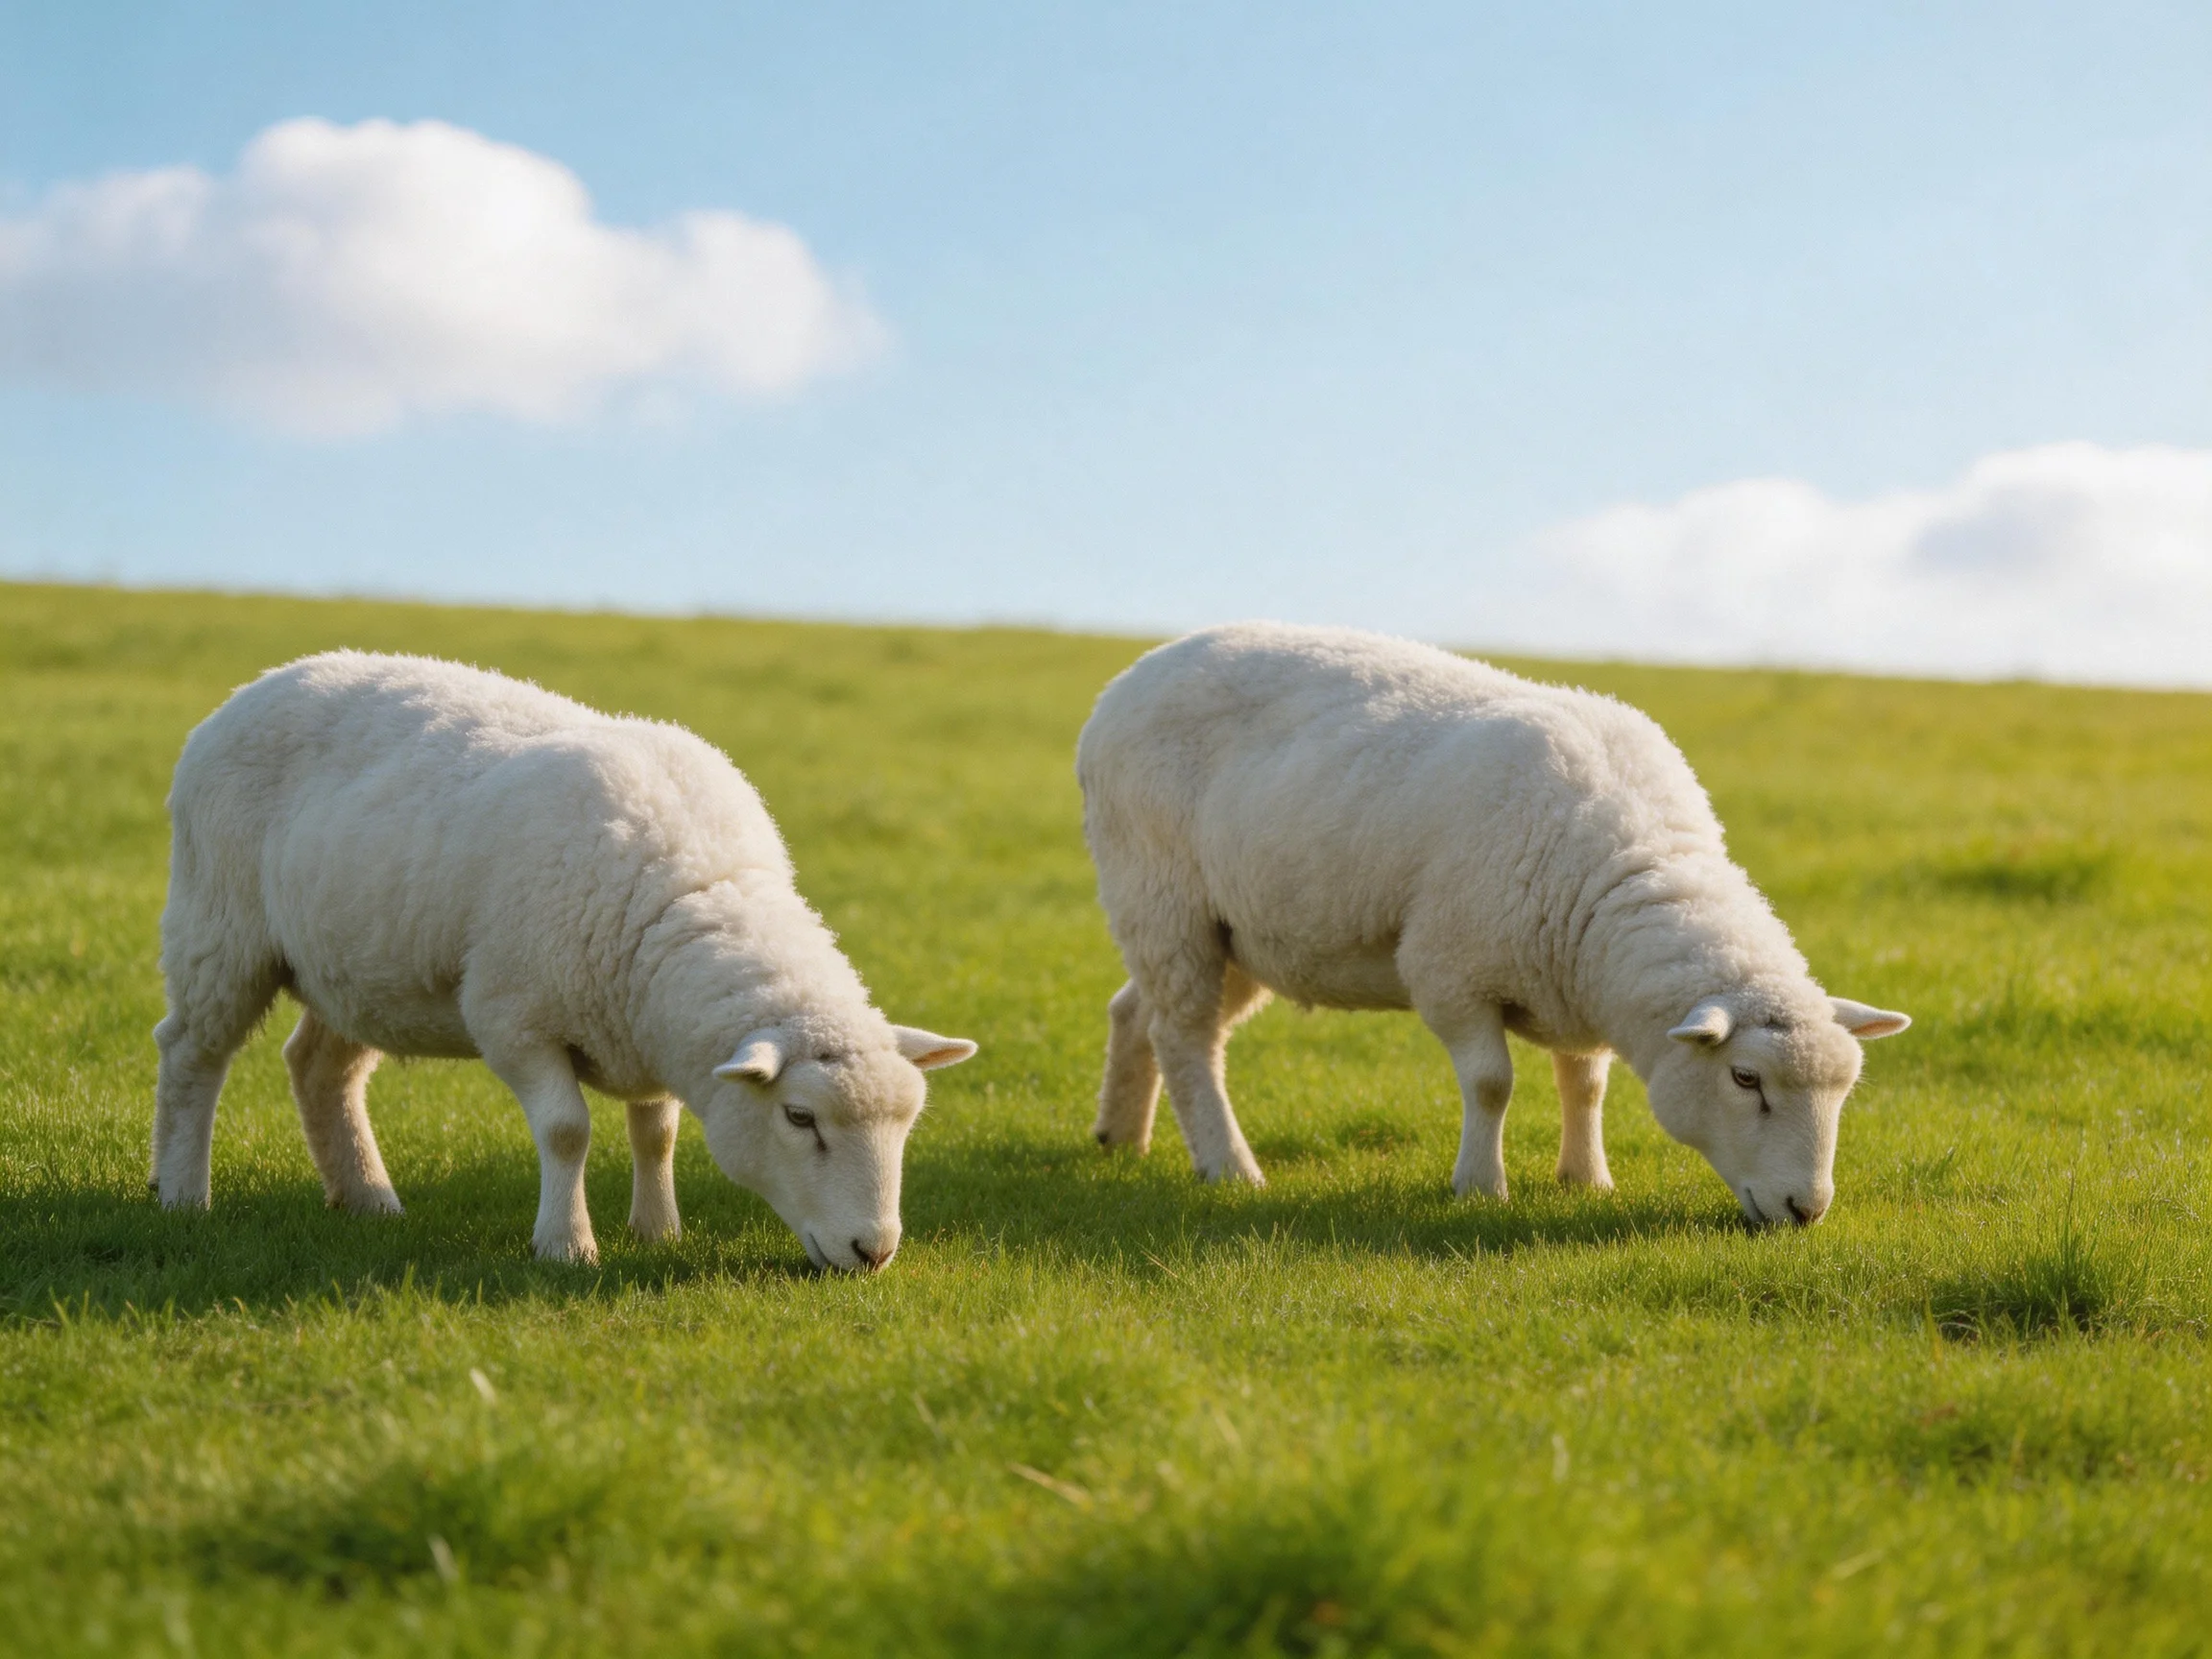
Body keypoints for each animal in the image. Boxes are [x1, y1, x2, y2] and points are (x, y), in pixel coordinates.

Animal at [152, 651, 975, 1267]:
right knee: (192, 1053)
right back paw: (183, 1194)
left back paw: (367, 1199)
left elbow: (656, 1131)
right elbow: (566, 1131)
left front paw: (657, 1229)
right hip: (219, 925)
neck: (692, 889)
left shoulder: (646, 1024)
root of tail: (263, 682)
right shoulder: (511, 1017)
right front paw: (567, 1244)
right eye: (800, 1118)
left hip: (359, 966)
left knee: (320, 1069)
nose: (873, 1251)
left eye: (907, 1124)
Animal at [1076, 622, 1908, 1227]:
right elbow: (1490, 1084)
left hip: (1239, 933)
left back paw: (1122, 1137)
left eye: (1845, 1090)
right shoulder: (1449, 968)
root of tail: (1130, 677)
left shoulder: (1572, 980)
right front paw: (1480, 1186)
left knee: (1135, 1012)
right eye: (1745, 1079)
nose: (1807, 1210)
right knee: (1187, 1038)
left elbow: (1586, 1083)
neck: (1629, 865)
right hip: (1162, 896)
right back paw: (1229, 1167)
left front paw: (1587, 1178)